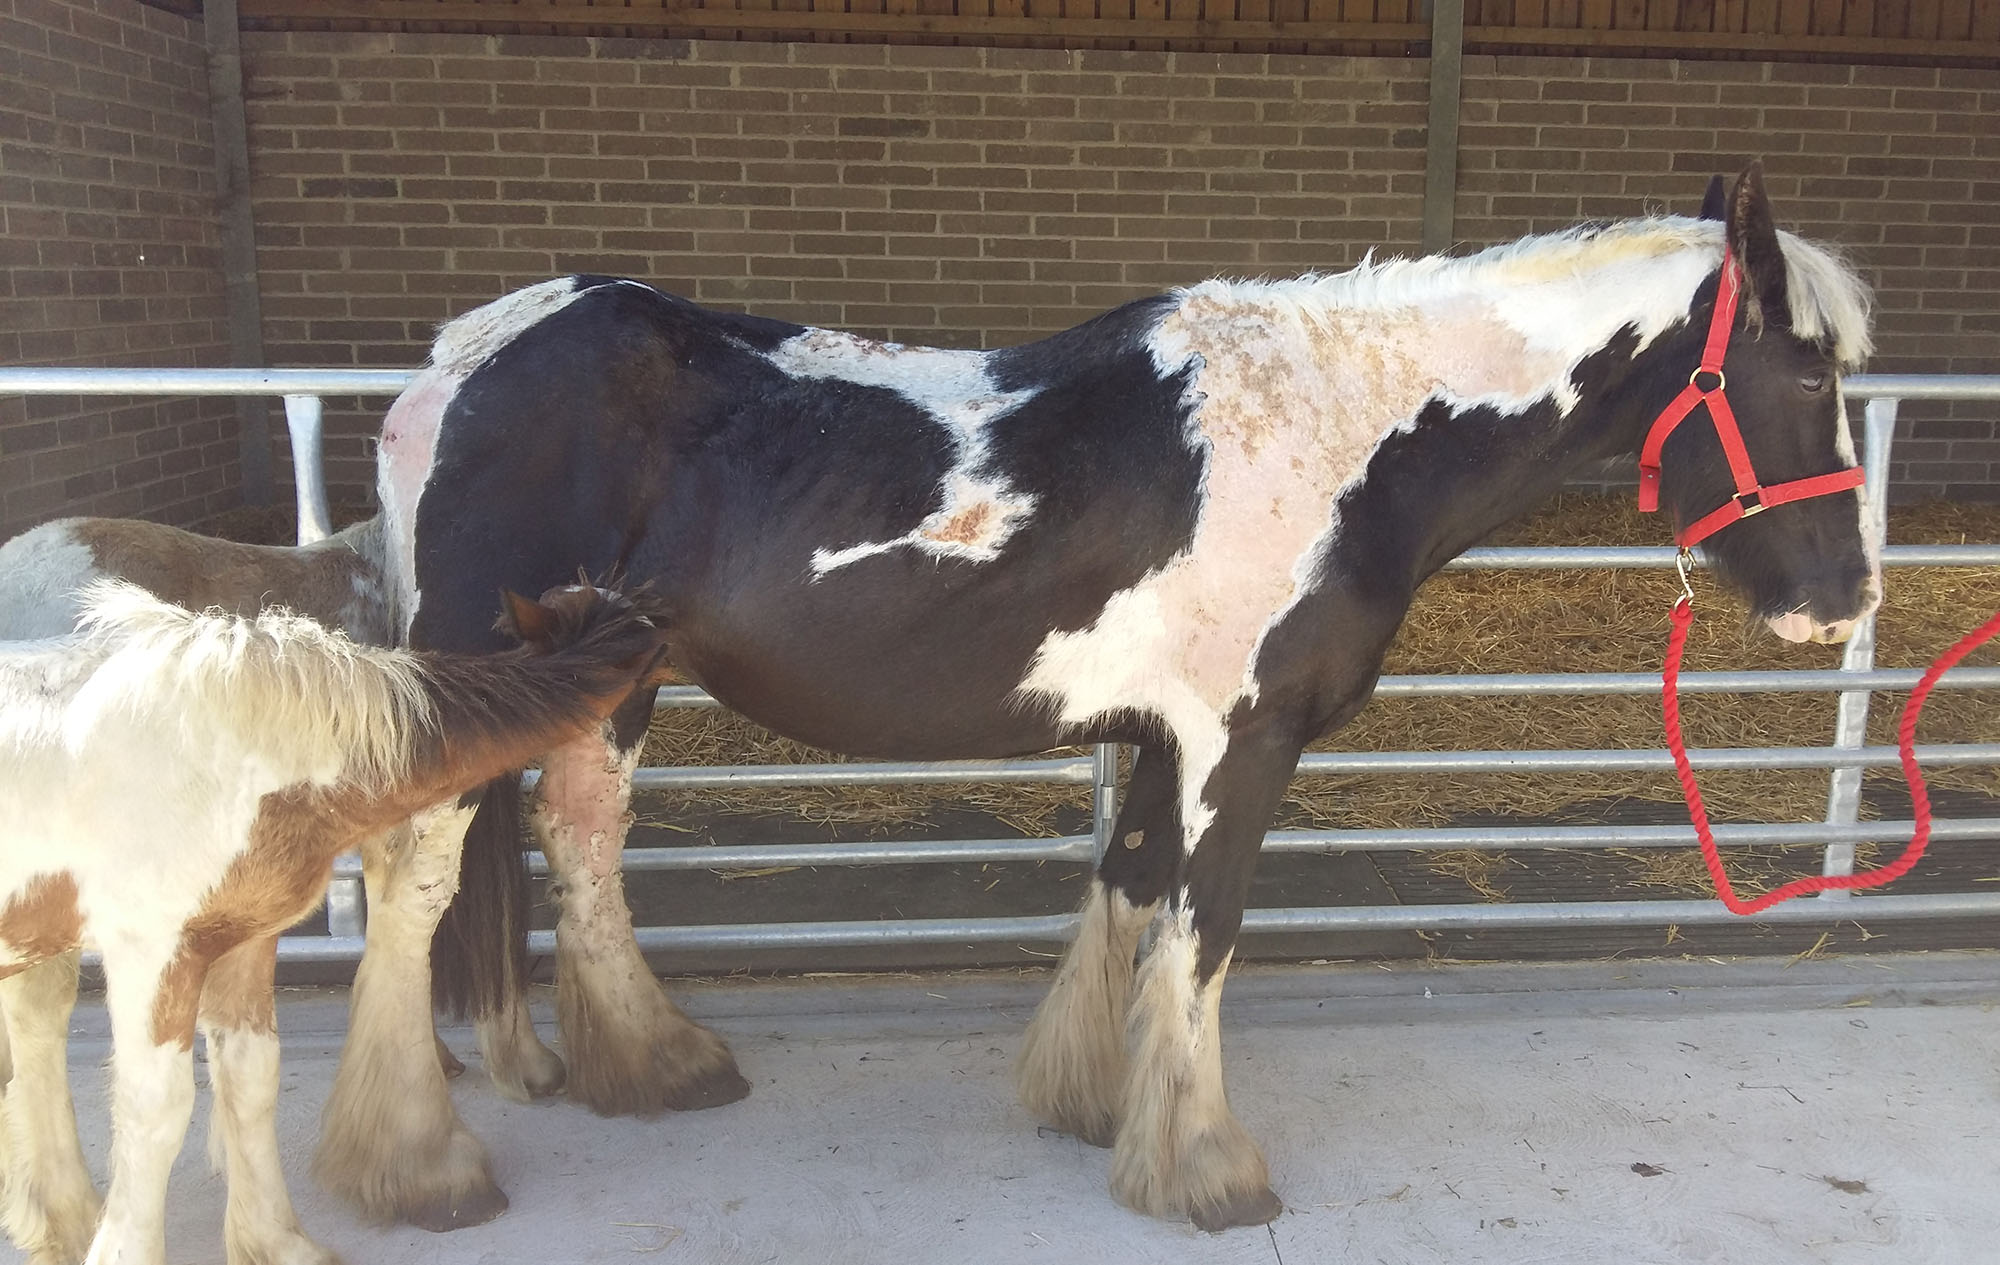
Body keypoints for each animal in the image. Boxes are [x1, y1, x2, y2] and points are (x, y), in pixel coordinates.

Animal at [0, 581, 674, 1265]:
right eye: (654, 661)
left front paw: (279, 1243)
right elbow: (155, 1109)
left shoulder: (245, 940)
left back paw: (62, 1221)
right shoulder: (153, 950)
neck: (235, 745)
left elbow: (251, 1081)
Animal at [332, 163, 1876, 1232]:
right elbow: (1204, 930)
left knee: (581, 838)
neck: (1339, 438)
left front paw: (1093, 1107)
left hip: (617, 676)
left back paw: (652, 1066)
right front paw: (1204, 1168)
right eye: (1808, 374)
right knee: (414, 881)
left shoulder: (1164, 738)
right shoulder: (1242, 742)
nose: (1846, 596)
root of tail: (456, 367)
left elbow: (1129, 890)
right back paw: (420, 1165)